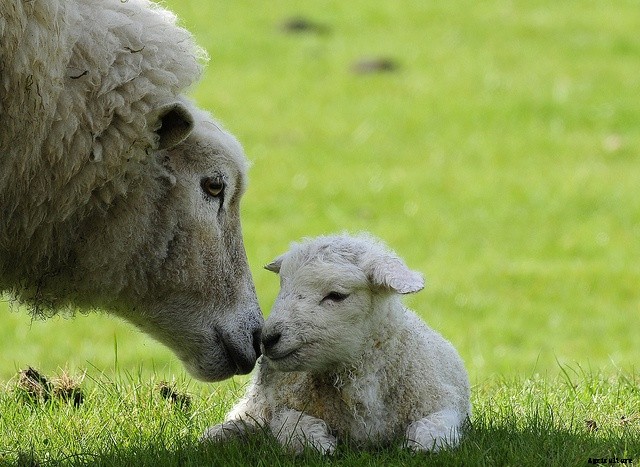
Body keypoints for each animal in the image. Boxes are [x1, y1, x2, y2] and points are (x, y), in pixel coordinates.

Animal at [202, 233, 471, 454]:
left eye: (337, 295)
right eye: (283, 287)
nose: (266, 339)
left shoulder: (441, 403)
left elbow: (431, 432)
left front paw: (418, 446)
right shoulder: (283, 405)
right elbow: (293, 426)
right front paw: (319, 444)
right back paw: (225, 433)